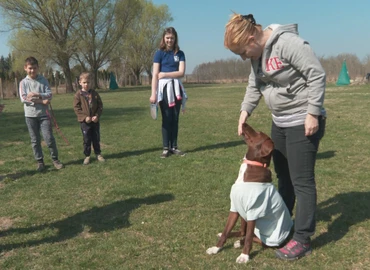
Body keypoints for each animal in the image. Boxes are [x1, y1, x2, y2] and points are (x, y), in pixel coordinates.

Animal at [205, 123, 292, 262]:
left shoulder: (253, 211)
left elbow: (249, 238)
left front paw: (244, 256)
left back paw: (240, 242)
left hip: (268, 238)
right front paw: (216, 248)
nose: (244, 123)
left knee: (255, 238)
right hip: (242, 214)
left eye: (258, 133)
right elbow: (226, 231)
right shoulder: (234, 207)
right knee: (243, 232)